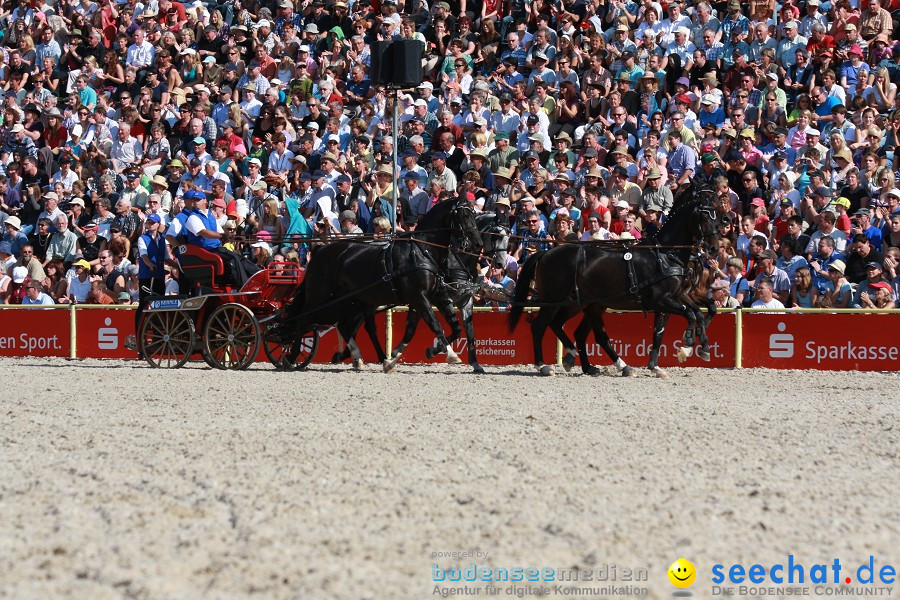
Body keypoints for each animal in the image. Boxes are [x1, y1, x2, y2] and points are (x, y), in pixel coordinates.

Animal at [286, 199, 486, 370]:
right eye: (464, 215)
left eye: (474, 214)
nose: (478, 243)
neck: (422, 251)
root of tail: (320, 249)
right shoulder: (420, 298)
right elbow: (435, 325)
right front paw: (450, 354)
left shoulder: (435, 297)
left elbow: (450, 328)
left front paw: (416, 353)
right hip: (320, 295)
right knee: (304, 319)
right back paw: (291, 357)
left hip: (352, 300)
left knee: (344, 325)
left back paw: (359, 356)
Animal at [506, 185, 724, 378]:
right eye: (704, 216)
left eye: (717, 215)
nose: (714, 248)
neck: (665, 254)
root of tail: (545, 253)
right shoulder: (662, 300)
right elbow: (691, 315)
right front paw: (687, 347)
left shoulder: (673, 299)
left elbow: (666, 329)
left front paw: (661, 364)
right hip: (554, 300)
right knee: (541, 326)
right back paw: (544, 366)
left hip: (580, 303)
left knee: (571, 329)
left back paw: (586, 362)